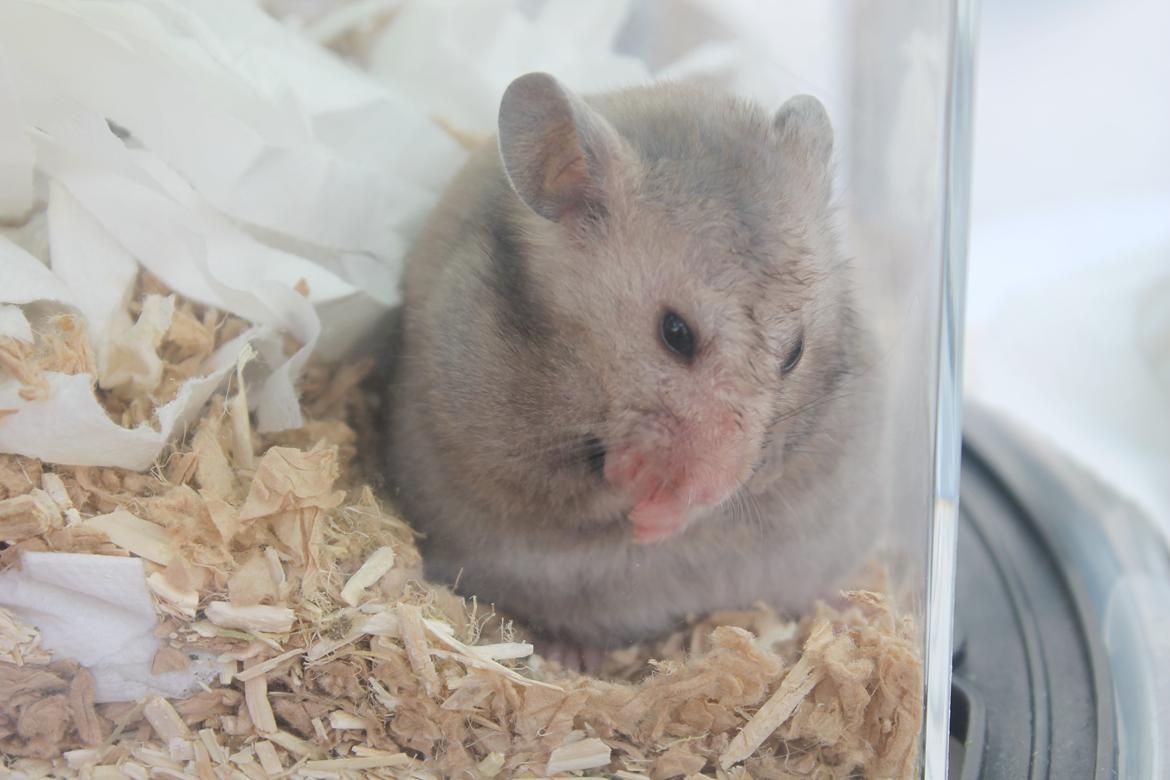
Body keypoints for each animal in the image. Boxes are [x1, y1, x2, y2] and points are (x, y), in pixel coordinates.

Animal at [384, 72, 879, 668]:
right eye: (675, 332)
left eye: (795, 353)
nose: (709, 486)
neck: (593, 368)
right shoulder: (488, 430)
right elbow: (568, 484)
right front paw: (637, 486)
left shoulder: (796, 446)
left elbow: (751, 481)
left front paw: (660, 519)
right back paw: (569, 653)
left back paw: (846, 611)